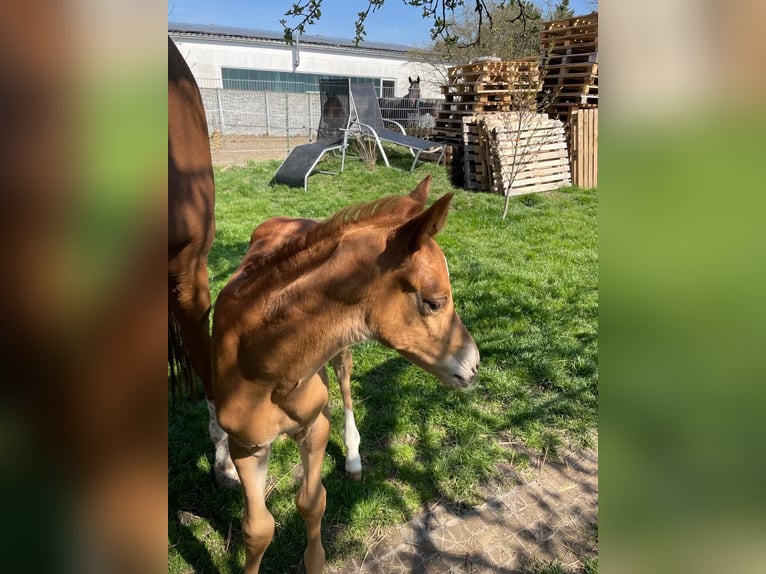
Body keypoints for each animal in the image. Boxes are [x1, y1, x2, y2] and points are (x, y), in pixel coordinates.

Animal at [212, 178, 480, 572]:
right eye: (435, 302)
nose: (474, 365)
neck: (267, 365)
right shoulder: (247, 445)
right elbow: (258, 528)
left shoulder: (315, 427)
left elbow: (311, 503)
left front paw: (315, 561)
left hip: (341, 348)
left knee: (346, 381)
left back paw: (353, 456)